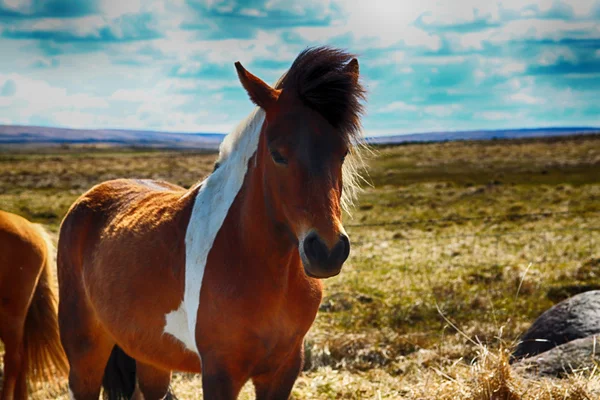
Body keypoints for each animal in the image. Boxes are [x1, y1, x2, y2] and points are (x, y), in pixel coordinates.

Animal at [57, 45, 366, 398]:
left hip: (150, 354)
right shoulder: (220, 372)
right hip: (85, 351)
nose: (327, 251)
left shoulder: (284, 369)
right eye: (278, 154)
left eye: (342, 152)